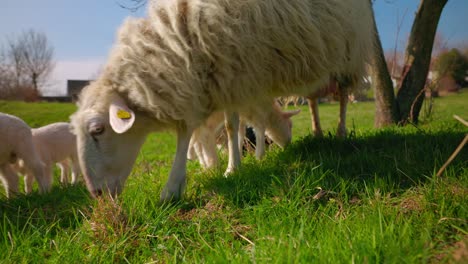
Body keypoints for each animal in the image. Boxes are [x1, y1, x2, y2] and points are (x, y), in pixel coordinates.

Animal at [70, 0, 376, 200]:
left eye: (98, 130)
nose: (96, 194)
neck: (181, 36)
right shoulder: (221, 78)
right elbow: (222, 128)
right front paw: (229, 167)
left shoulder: (235, 75)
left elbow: (205, 130)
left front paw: (175, 187)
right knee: (313, 100)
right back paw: (317, 131)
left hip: (348, 54)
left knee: (344, 98)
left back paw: (340, 132)